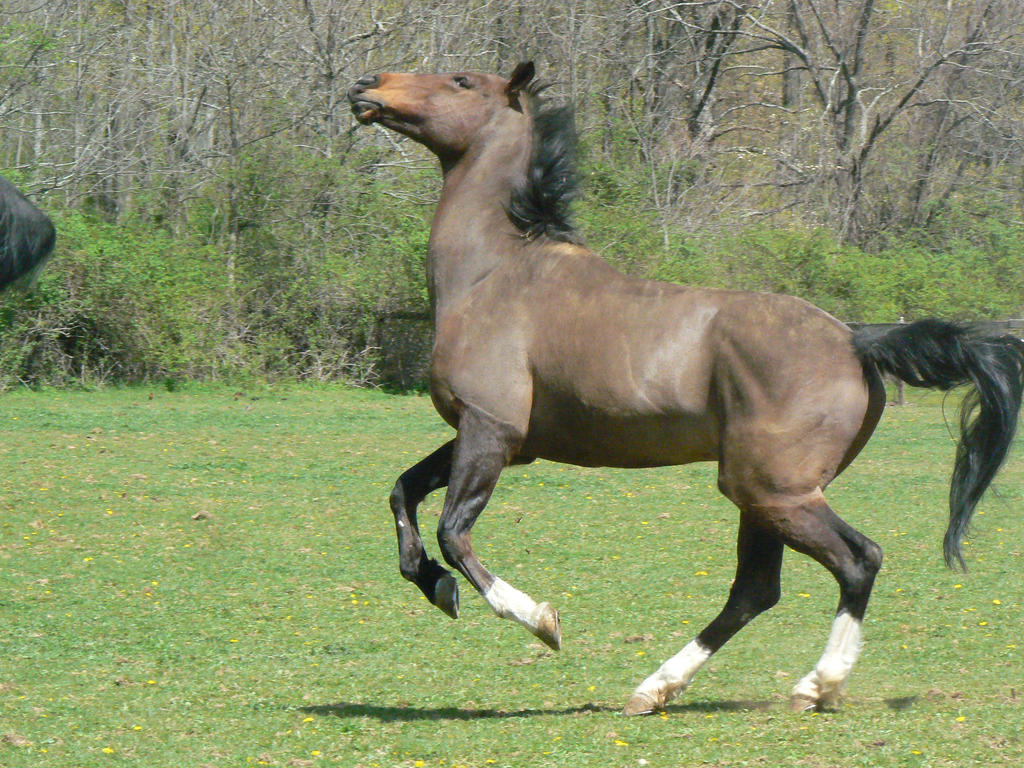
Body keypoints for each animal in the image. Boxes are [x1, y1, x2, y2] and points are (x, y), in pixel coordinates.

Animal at [348, 64, 1019, 716]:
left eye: (462, 82)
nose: (367, 88)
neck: (494, 274)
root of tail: (856, 340)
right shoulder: (499, 438)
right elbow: (403, 493)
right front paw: (434, 585)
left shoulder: (492, 429)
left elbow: (453, 530)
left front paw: (539, 619)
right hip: (764, 496)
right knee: (756, 589)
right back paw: (657, 688)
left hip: (773, 491)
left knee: (858, 560)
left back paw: (816, 686)